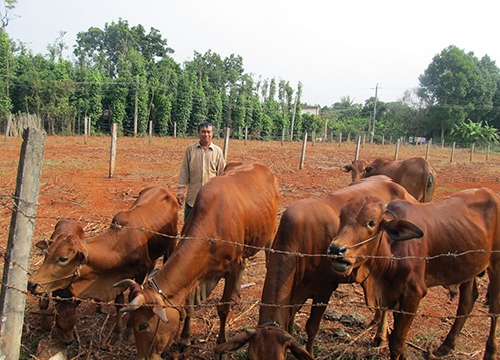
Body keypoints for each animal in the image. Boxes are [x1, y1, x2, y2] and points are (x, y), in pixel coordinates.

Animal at [28, 187, 178, 344]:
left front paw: (129, 332)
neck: (121, 244)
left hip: (171, 244)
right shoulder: (118, 277)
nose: (32, 284)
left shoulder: (140, 273)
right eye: (46, 253)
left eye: (63, 258)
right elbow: (119, 302)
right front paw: (116, 334)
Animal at [114, 160, 282, 360]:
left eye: (143, 325)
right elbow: (189, 306)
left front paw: (222, 346)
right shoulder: (197, 276)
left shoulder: (231, 268)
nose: (143, 357)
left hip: (270, 235)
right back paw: (236, 294)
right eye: (131, 322)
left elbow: (222, 309)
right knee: (245, 264)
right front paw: (185, 340)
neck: (212, 227)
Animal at [215, 176, 418, 358]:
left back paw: (380, 336)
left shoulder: (324, 289)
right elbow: (289, 322)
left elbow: (311, 328)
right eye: (251, 356)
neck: (298, 240)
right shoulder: (296, 291)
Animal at [328, 188, 500, 360]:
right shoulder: (393, 294)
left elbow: (397, 342)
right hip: (468, 269)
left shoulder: (413, 294)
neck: (392, 251)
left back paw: (491, 352)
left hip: (495, 267)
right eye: (341, 217)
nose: (336, 249)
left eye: (372, 222)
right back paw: (446, 346)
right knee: (467, 301)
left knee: (494, 309)